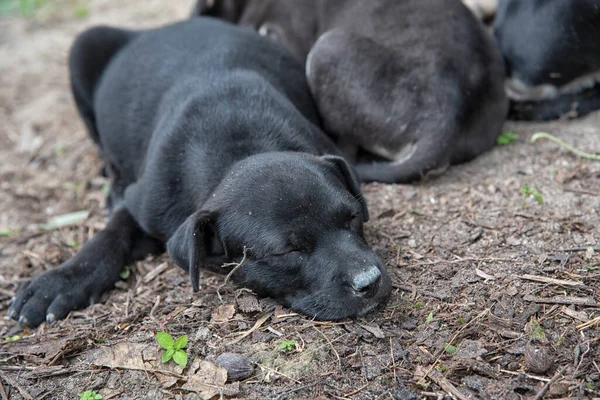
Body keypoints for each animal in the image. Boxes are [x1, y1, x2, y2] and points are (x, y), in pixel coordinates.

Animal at [11, 18, 394, 328]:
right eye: (287, 252)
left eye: (353, 217)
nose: (369, 281)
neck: (239, 147)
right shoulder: (147, 202)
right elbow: (110, 235)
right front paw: (58, 282)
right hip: (84, 48)